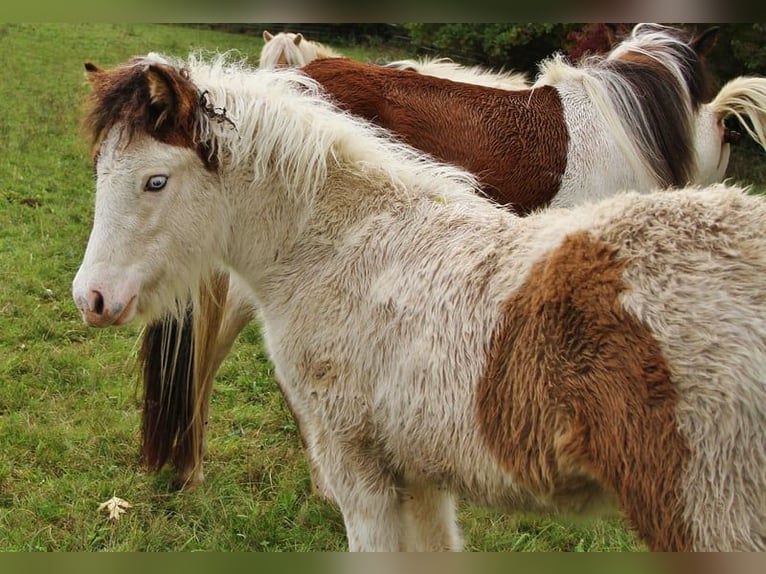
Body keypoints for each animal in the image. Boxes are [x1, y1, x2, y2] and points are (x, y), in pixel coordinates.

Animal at [73, 51, 766, 551]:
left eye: (155, 181)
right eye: (99, 170)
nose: (92, 297)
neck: (349, 242)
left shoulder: (365, 473)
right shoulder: (420, 477)